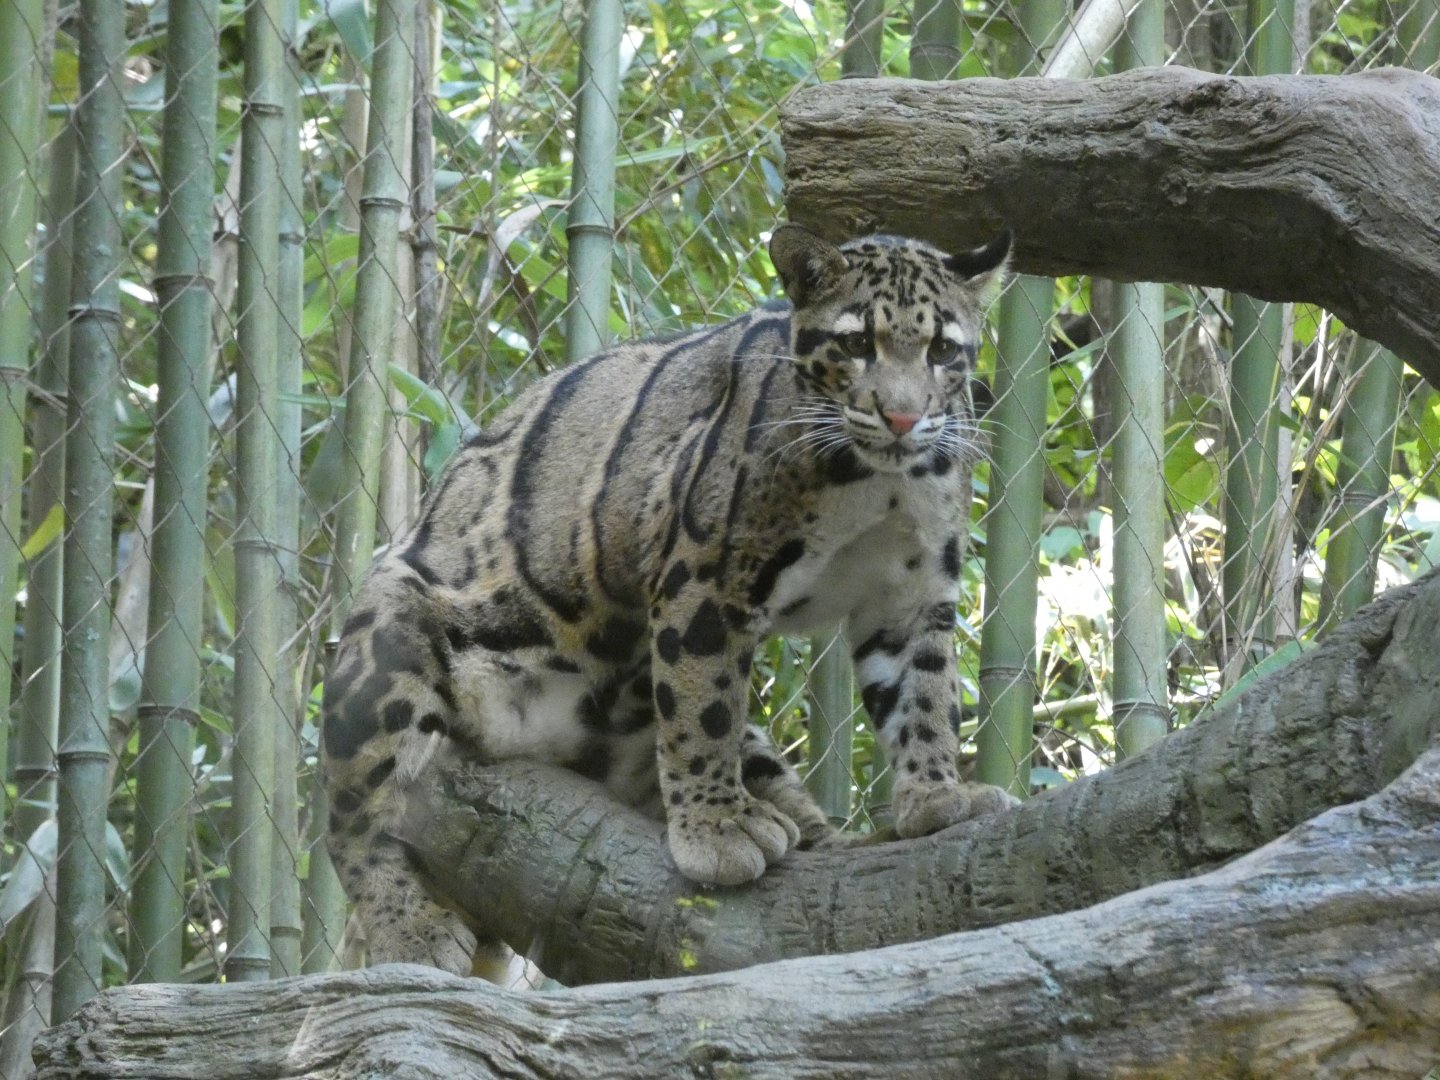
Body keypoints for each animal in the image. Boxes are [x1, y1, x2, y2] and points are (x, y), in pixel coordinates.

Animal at [320, 223, 1019, 975]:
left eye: (943, 351)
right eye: (857, 343)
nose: (902, 415)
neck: (876, 478)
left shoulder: (914, 592)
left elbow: (925, 695)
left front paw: (935, 794)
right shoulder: (705, 571)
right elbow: (703, 704)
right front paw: (716, 828)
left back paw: (823, 836)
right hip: (389, 629)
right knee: (356, 819)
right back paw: (406, 926)